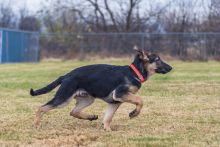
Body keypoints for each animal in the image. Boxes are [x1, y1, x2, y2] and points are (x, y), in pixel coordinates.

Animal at [30, 46, 173, 131]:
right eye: (157, 59)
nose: (171, 68)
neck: (134, 72)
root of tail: (66, 75)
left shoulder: (115, 102)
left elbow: (108, 118)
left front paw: (107, 130)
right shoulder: (120, 94)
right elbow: (140, 100)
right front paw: (134, 113)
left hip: (87, 99)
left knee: (73, 111)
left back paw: (91, 117)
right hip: (63, 98)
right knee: (41, 108)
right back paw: (36, 125)